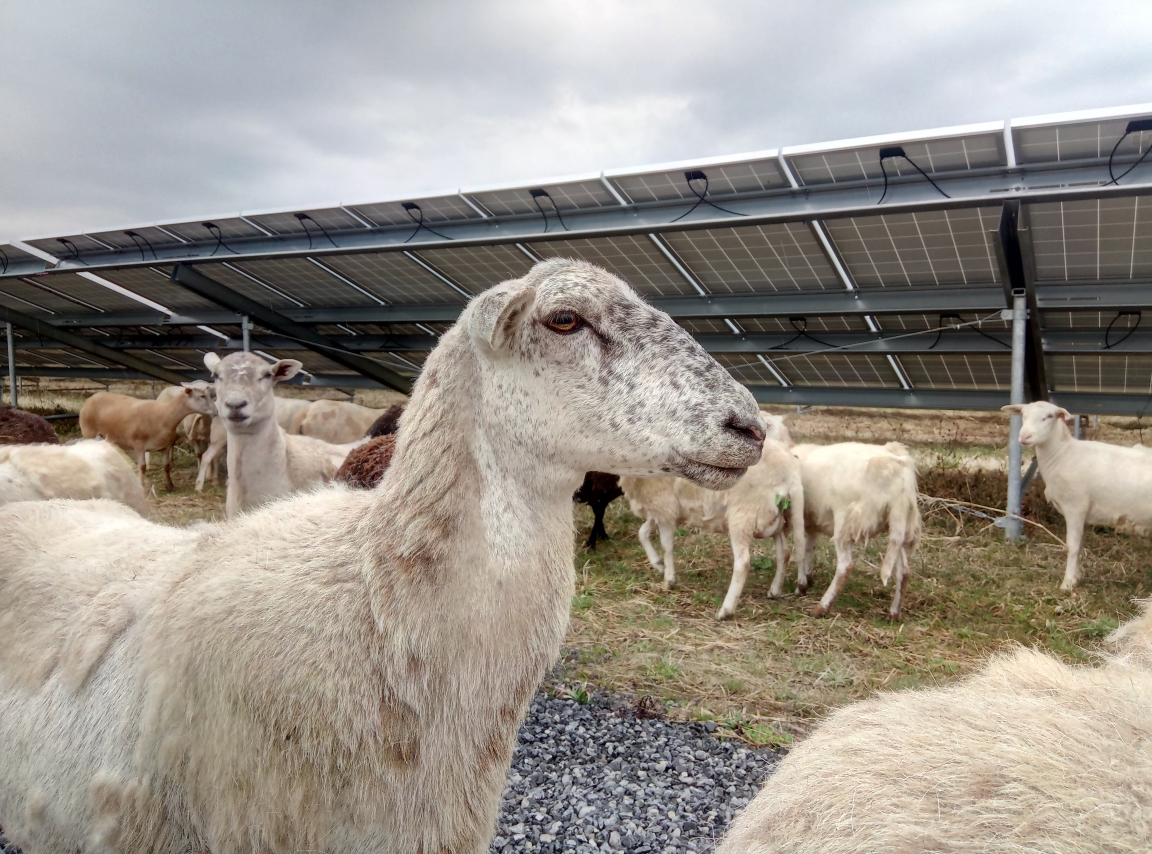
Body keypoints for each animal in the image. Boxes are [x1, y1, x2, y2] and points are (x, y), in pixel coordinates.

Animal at [79, 383, 217, 491]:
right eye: (202, 396)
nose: (216, 411)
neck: (164, 415)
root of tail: (92, 397)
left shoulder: (166, 445)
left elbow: (166, 466)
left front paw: (170, 486)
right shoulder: (139, 445)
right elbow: (142, 467)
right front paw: (141, 486)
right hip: (89, 433)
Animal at [620, 437, 804, 620]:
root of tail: (790, 475)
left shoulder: (664, 504)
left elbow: (666, 546)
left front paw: (669, 580)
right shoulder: (661, 509)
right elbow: (643, 532)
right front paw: (658, 564)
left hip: (744, 514)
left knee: (743, 562)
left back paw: (726, 610)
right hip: (777, 517)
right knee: (784, 553)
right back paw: (774, 591)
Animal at [792, 441, 921, 619]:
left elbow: (800, 550)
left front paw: (801, 585)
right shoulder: (813, 519)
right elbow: (810, 547)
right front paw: (808, 577)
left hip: (845, 520)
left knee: (845, 567)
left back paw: (822, 608)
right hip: (900, 522)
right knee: (904, 571)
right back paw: (894, 613)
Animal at [1003, 400, 1152, 590]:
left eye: (1049, 416)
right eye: (1023, 415)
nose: (1024, 436)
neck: (1062, 453)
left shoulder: (1075, 507)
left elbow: (1072, 546)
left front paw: (1067, 583)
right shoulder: (1084, 513)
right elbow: (1080, 545)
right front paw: (1076, 577)